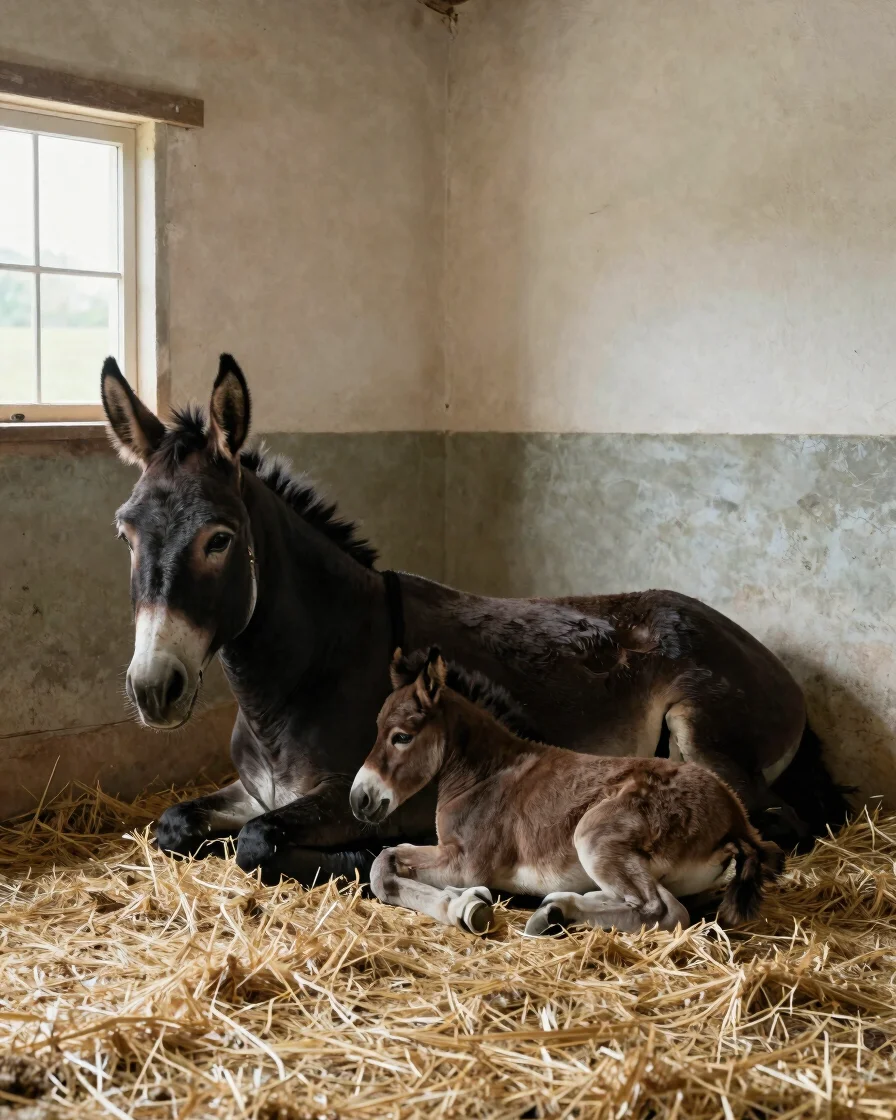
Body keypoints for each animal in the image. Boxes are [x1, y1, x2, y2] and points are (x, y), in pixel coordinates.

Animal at [100, 352, 847, 885]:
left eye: (219, 539)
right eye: (125, 533)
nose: (153, 688)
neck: (306, 677)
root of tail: (765, 654)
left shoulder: (354, 791)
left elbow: (258, 845)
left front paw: (360, 858)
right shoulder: (255, 791)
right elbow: (175, 825)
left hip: (703, 733)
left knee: (783, 822)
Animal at [351, 648, 786, 935]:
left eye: (402, 736)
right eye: (375, 728)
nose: (360, 799)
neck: (486, 774)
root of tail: (736, 819)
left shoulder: (466, 860)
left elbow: (383, 865)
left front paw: (464, 906)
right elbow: (387, 862)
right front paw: (468, 898)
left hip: (594, 835)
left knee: (662, 910)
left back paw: (555, 913)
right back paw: (556, 907)